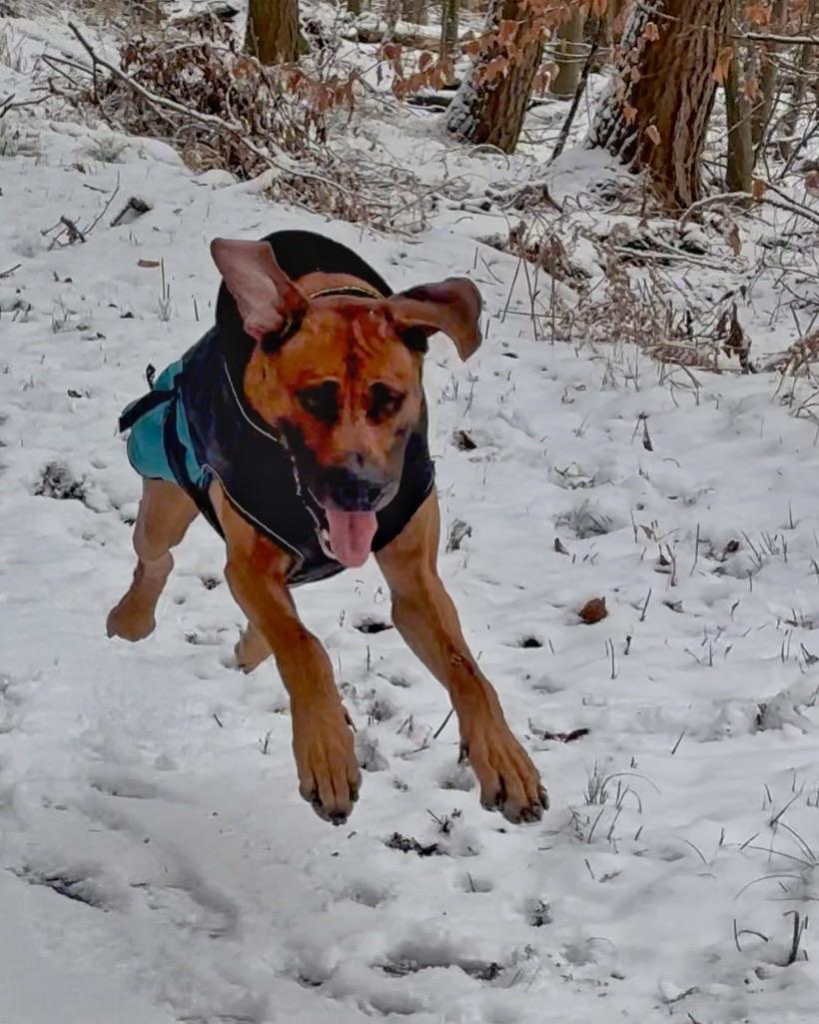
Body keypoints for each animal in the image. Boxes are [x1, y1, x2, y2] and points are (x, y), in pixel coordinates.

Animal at [106, 230, 544, 823]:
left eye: (390, 399)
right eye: (315, 397)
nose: (362, 490)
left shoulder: (416, 581)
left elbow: (467, 671)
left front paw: (504, 758)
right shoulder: (249, 563)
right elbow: (306, 648)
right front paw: (327, 752)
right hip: (166, 499)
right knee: (157, 557)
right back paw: (131, 618)